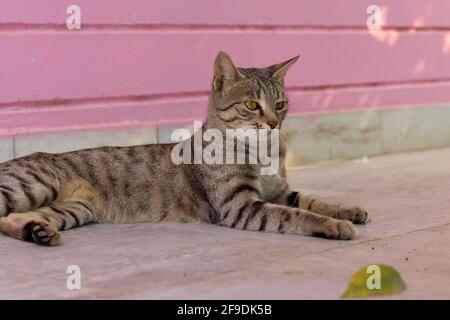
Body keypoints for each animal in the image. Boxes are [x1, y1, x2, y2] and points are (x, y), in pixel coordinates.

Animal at [0, 52, 370, 245]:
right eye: (251, 105)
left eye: (280, 104)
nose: (273, 123)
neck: (263, 152)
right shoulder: (241, 206)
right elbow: (296, 215)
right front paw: (334, 225)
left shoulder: (280, 191)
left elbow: (314, 200)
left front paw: (349, 210)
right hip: (31, 186)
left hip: (73, 208)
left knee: (10, 220)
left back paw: (36, 232)